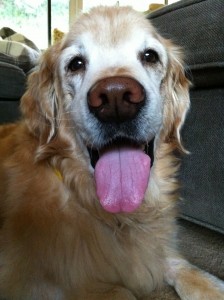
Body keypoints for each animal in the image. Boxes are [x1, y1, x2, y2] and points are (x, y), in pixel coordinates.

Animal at [0, 5, 224, 298]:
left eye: (150, 56)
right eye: (76, 64)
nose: (116, 97)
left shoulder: (156, 249)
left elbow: (188, 270)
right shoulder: (31, 280)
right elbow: (119, 290)